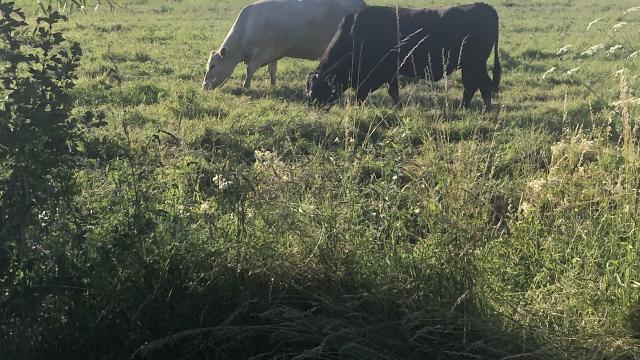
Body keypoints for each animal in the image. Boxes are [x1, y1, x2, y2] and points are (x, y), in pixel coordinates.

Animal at [202, 0, 368, 89]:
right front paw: (273, 86)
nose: (204, 86)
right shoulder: (272, 54)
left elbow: (250, 70)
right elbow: (272, 71)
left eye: (213, 66)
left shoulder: (262, 52)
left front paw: (246, 87)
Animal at [308, 2, 502, 109]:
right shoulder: (389, 71)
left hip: (474, 64)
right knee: (477, 85)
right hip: (473, 65)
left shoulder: (376, 73)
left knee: (478, 85)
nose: (312, 106)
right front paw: (398, 107)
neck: (354, 33)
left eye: (317, 89)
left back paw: (476, 109)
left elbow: (367, 93)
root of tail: (483, 6)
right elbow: (392, 91)